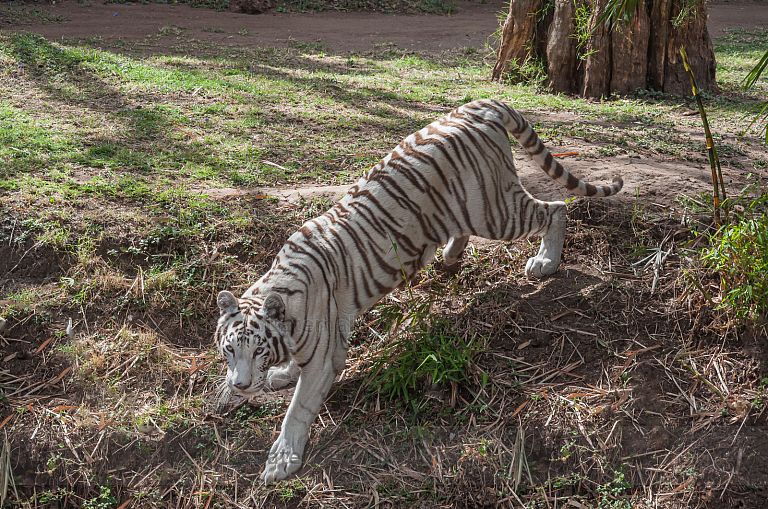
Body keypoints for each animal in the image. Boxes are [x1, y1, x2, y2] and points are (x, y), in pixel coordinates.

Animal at [215, 99, 623, 483]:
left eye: (258, 349)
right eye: (229, 349)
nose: (241, 385)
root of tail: (479, 105)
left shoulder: (324, 356)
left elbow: (297, 409)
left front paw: (281, 460)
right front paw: (282, 373)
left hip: (493, 209)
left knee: (554, 208)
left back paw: (545, 262)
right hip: (463, 208)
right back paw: (449, 258)